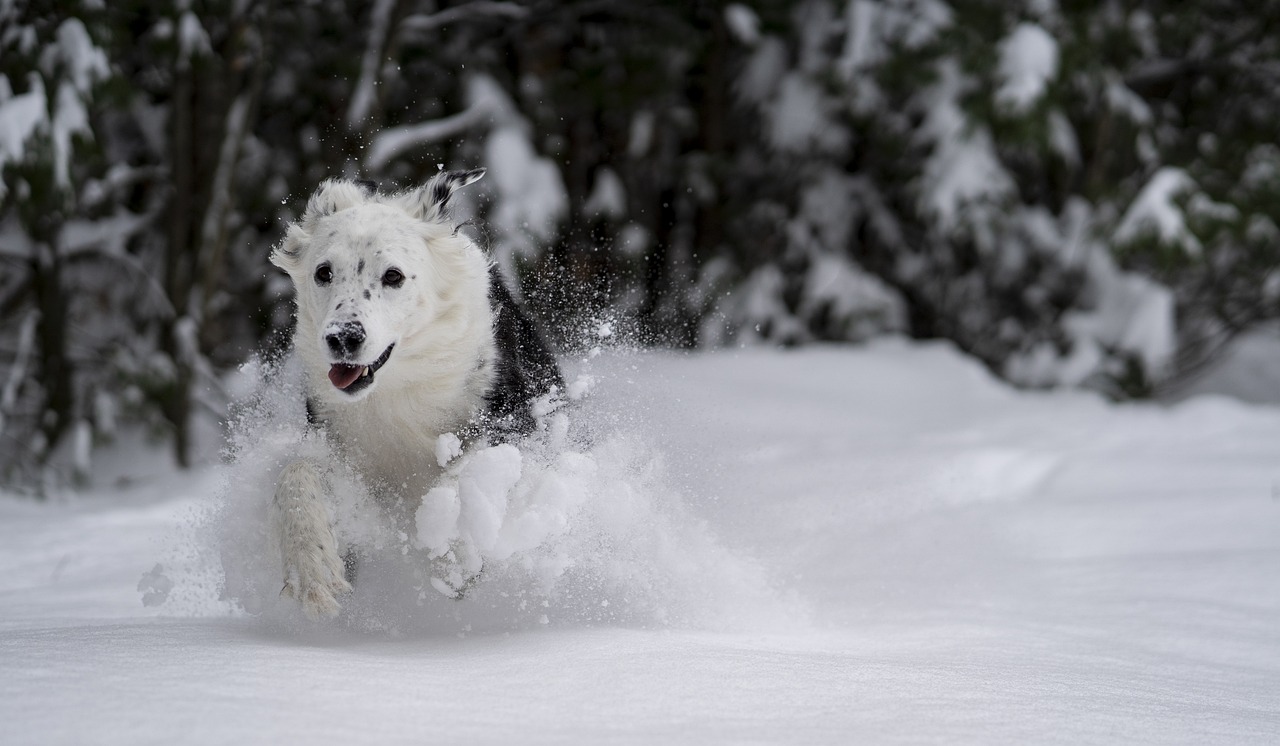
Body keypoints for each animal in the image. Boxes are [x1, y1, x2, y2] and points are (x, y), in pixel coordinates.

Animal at [264, 168, 560, 619]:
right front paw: (312, 567)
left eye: (393, 276)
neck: (396, 387)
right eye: (323, 272)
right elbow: (296, 474)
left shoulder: (513, 421)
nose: (343, 338)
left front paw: (453, 553)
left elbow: (465, 472)